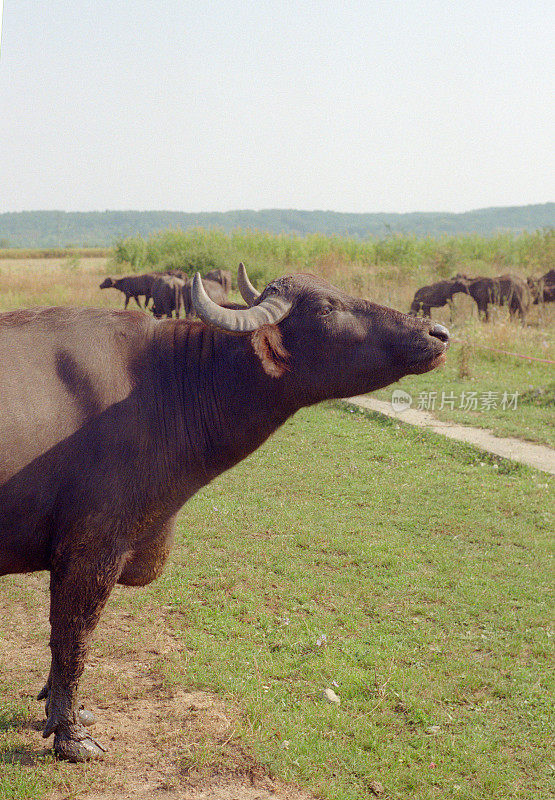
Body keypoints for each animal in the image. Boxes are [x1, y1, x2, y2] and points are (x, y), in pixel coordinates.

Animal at [0, 264, 450, 764]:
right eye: (325, 308)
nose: (438, 333)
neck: (163, 388)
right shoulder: (91, 549)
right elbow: (73, 638)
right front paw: (70, 734)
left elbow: (62, 641)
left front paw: (64, 709)